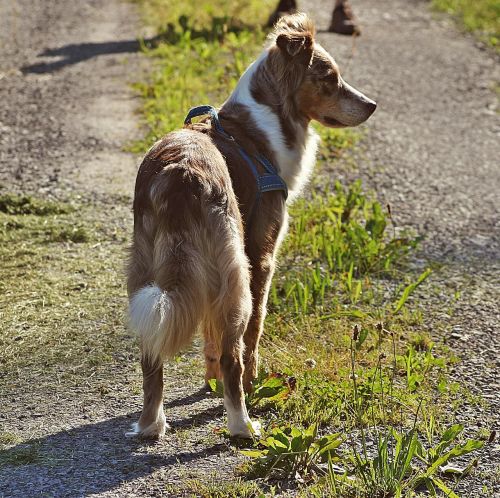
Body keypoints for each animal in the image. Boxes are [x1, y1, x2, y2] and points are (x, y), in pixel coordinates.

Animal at [125, 11, 376, 438]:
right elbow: (254, 332)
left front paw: (208, 382)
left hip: (147, 273)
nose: (372, 105)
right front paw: (252, 382)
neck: (263, 125)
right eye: (329, 78)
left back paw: (151, 426)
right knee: (234, 351)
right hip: (235, 275)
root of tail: (179, 175)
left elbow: (208, 338)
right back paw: (243, 424)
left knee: (152, 354)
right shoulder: (261, 256)